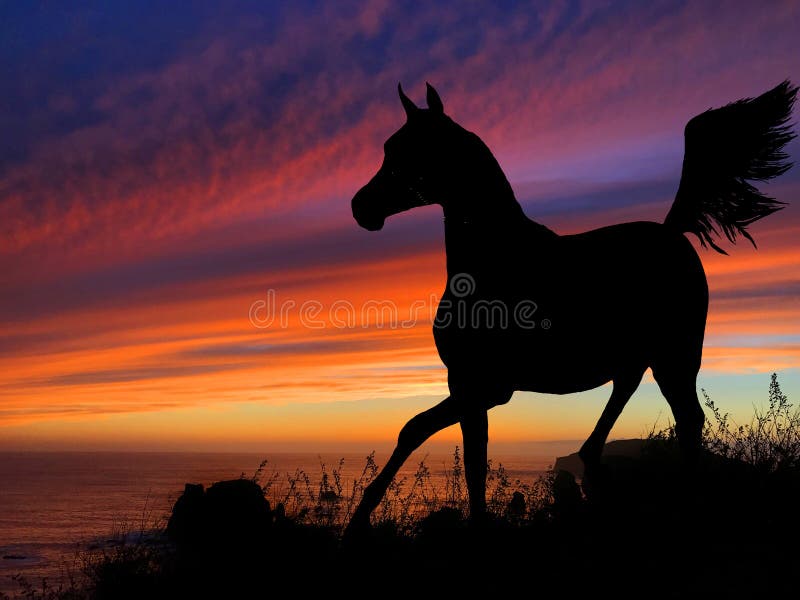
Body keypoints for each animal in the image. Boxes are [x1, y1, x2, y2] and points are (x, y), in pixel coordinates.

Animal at [347, 81, 797, 532]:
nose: (360, 207)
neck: (495, 261)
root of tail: (671, 232)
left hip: (676, 358)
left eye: (411, 149)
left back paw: (685, 504)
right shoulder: (467, 384)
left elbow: (420, 432)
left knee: (689, 421)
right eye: (389, 147)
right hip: (636, 360)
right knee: (615, 416)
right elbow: (465, 459)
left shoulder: (485, 386)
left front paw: (361, 516)